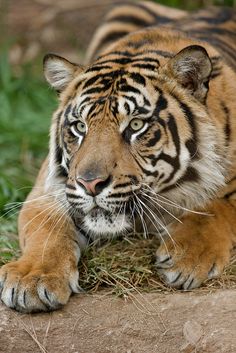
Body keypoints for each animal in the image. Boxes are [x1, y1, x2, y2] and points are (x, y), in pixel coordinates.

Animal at [0, 1, 236, 312]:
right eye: (80, 127)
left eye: (135, 125)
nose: (90, 184)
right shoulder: (48, 191)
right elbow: (46, 231)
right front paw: (33, 278)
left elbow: (217, 206)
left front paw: (187, 258)